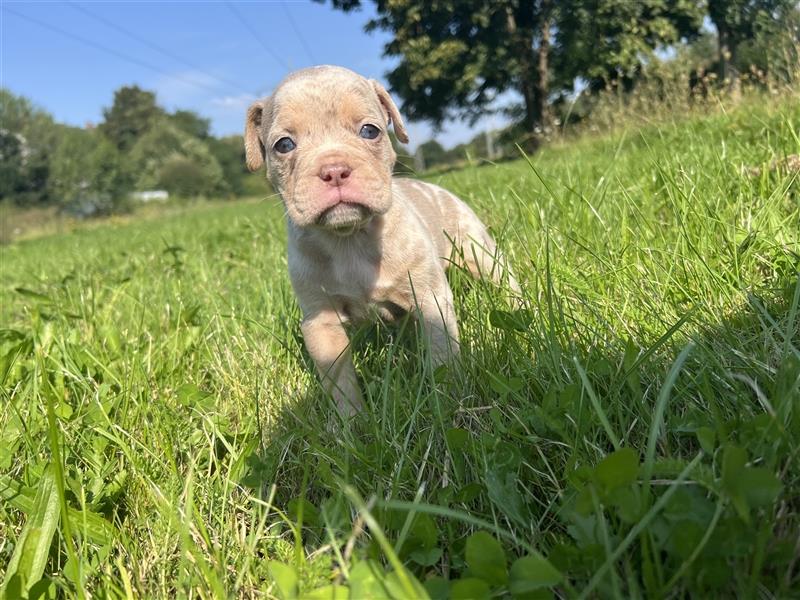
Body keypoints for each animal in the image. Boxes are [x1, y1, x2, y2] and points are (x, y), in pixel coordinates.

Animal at [244, 63, 520, 414]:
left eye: (370, 131)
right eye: (283, 145)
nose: (334, 170)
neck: (349, 239)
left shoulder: (431, 300)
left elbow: (442, 356)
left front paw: (447, 400)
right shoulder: (321, 323)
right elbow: (340, 382)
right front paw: (350, 423)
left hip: (479, 251)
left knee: (503, 279)